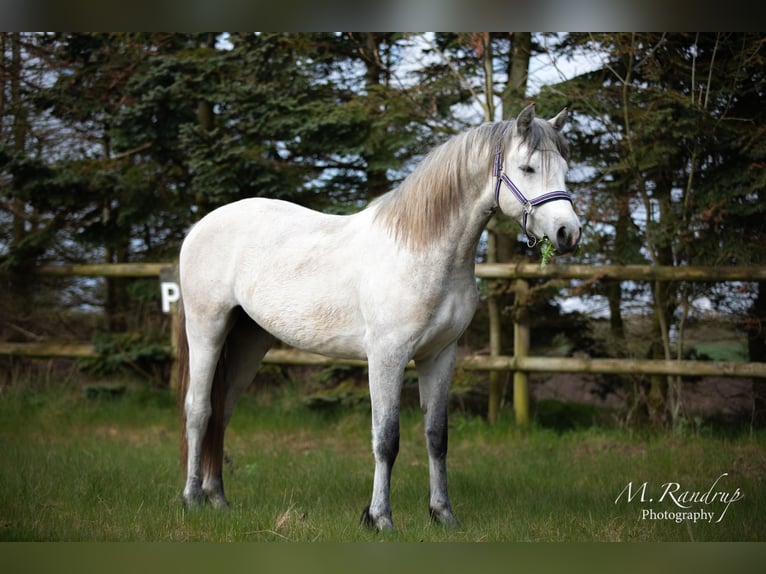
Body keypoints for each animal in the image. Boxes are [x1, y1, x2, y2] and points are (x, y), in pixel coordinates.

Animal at [176, 102, 584, 532]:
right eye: (527, 168)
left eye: (564, 168)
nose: (568, 233)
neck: (421, 249)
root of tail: (200, 226)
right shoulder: (387, 356)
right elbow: (386, 439)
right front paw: (379, 517)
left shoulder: (440, 356)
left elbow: (437, 437)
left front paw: (443, 514)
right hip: (207, 329)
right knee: (199, 410)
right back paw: (192, 499)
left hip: (249, 340)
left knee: (222, 412)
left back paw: (218, 498)